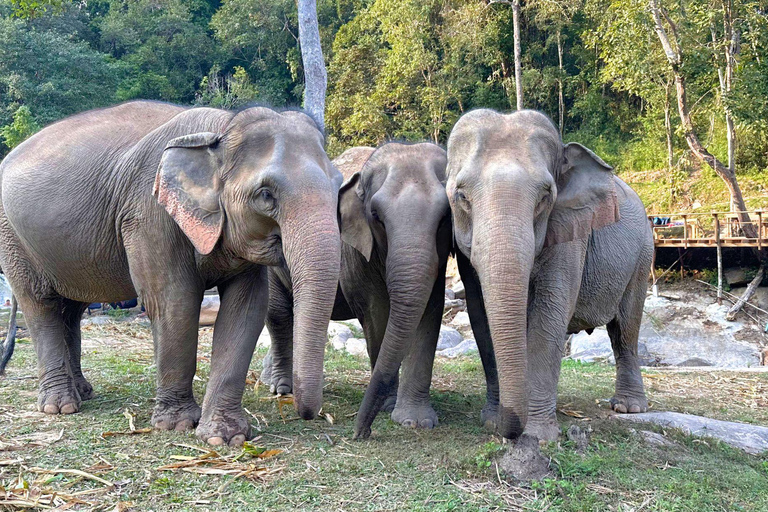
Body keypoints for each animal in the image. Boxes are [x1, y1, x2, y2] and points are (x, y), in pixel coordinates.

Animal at [0, 100, 342, 446]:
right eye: (266, 195)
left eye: (338, 185)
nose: (305, 412)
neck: (223, 128)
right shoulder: (148, 214)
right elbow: (174, 302)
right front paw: (177, 425)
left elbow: (246, 309)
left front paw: (224, 438)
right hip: (13, 238)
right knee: (40, 304)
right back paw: (61, 406)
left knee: (71, 308)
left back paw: (83, 392)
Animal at [262, 142, 452, 439]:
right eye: (376, 217)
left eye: (445, 218)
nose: (360, 433)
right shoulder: (355, 254)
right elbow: (376, 315)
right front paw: (388, 405)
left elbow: (430, 313)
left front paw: (415, 421)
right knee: (280, 314)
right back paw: (281, 388)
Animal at [445, 109, 653, 441]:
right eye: (462, 196)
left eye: (545, 196)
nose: (506, 429)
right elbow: (482, 316)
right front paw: (492, 421)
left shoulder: (570, 228)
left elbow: (551, 311)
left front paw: (537, 435)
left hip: (642, 256)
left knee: (625, 330)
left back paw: (628, 407)